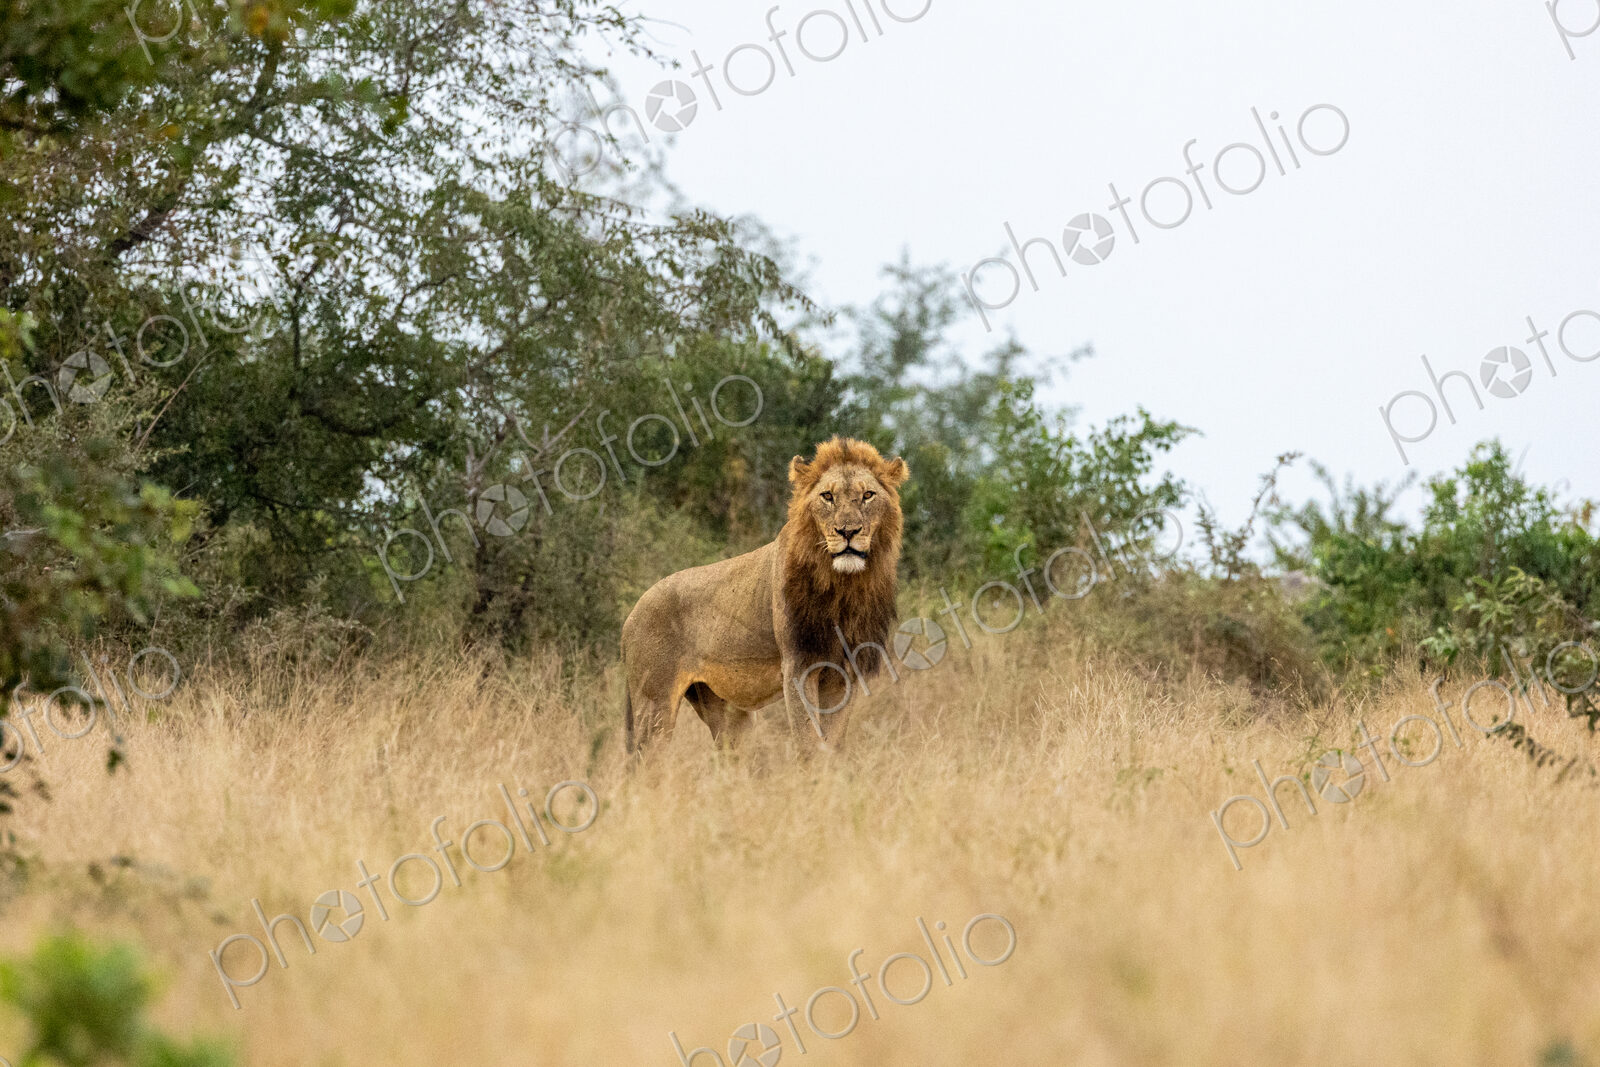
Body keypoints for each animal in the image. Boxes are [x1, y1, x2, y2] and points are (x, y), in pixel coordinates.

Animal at [620, 437, 909, 756]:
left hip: (725, 711)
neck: (842, 585)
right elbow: (808, 742)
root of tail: (632, 613)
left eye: (868, 495)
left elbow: (832, 745)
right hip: (654, 704)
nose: (848, 531)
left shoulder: (845, 672)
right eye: (828, 496)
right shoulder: (798, 666)